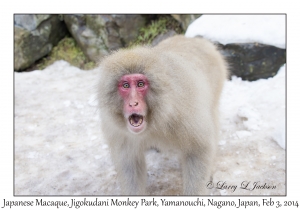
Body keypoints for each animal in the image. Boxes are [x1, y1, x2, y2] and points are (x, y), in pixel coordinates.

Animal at [97, 34, 226, 195]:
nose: (133, 103)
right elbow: (130, 164)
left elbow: (199, 149)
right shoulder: (118, 131)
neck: (154, 122)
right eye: (125, 85)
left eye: (140, 84)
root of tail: (195, 39)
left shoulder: (185, 115)